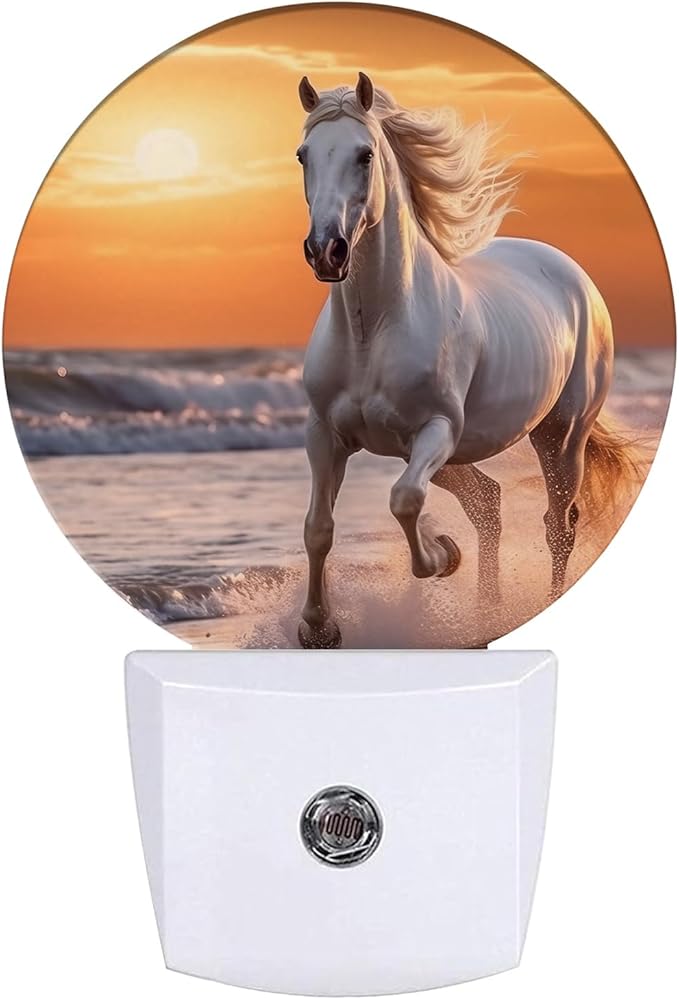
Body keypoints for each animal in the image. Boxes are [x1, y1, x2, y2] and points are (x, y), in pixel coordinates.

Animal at [295, 72, 636, 649]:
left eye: (365, 155)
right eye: (303, 155)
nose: (326, 251)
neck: (372, 332)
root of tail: (575, 276)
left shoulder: (436, 429)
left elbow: (404, 501)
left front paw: (442, 557)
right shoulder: (326, 435)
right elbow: (318, 528)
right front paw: (318, 629)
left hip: (559, 436)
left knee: (558, 523)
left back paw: (536, 602)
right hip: (446, 455)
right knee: (491, 504)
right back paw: (487, 612)